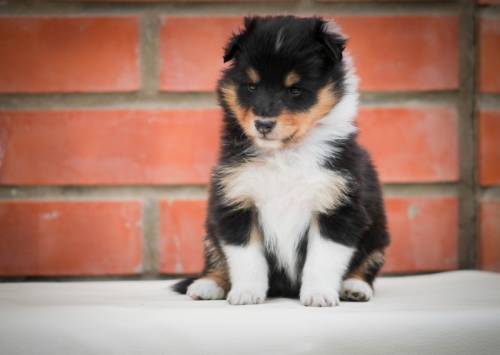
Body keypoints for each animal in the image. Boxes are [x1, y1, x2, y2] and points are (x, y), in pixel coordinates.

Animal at [174, 15, 388, 308]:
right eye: (251, 87)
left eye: (295, 90)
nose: (263, 124)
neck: (285, 154)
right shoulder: (237, 201)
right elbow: (246, 257)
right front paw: (246, 293)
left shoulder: (338, 207)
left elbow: (323, 259)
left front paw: (319, 295)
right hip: (210, 231)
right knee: (216, 258)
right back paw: (207, 284)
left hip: (378, 233)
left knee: (368, 262)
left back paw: (355, 287)